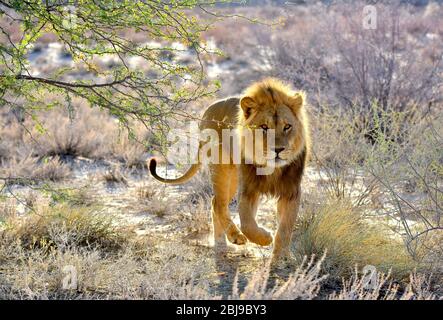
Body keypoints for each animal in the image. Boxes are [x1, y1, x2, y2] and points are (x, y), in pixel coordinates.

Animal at [149, 78, 308, 262]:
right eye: (264, 127)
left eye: (287, 126)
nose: (278, 150)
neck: (272, 169)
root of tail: (208, 109)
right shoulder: (248, 189)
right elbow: (247, 224)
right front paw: (264, 238)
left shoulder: (291, 192)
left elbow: (285, 228)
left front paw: (281, 258)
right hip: (223, 172)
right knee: (218, 204)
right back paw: (231, 238)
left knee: (216, 202)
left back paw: (221, 243)